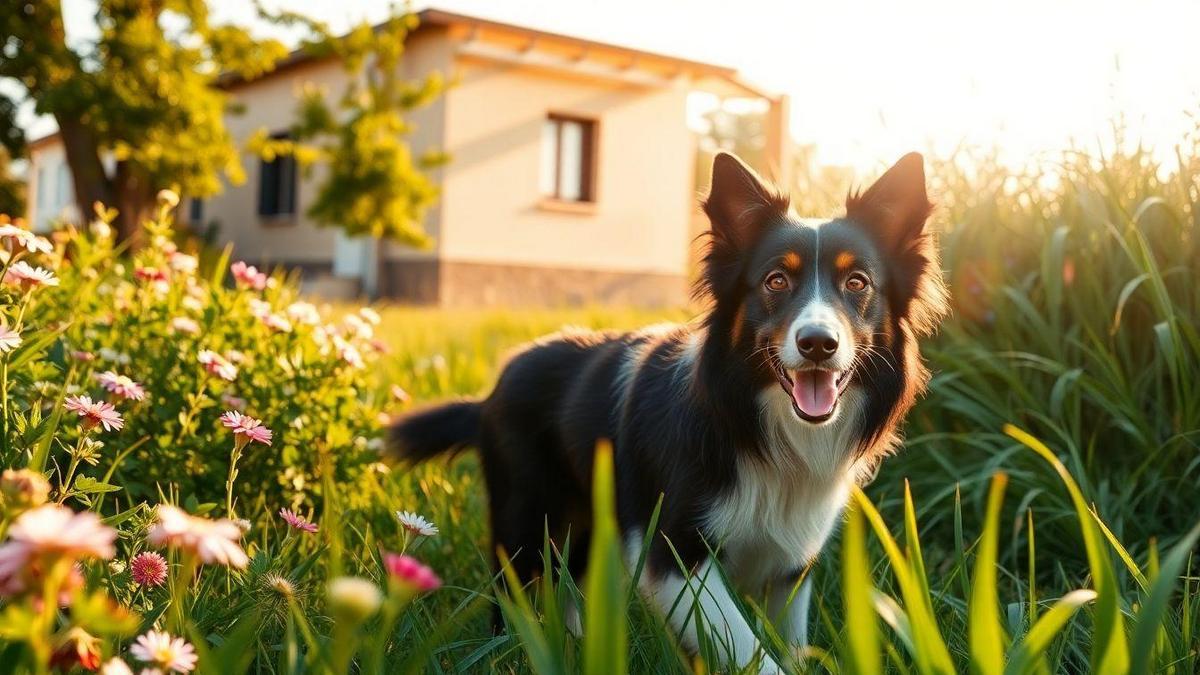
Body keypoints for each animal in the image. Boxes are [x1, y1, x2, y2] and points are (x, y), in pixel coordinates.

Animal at [388, 149, 950, 667]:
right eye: (776, 281)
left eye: (857, 283)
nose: (817, 344)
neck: (759, 426)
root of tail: (494, 387)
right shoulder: (673, 554)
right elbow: (750, 648)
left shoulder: (791, 563)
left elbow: (789, 644)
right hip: (525, 517)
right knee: (510, 593)